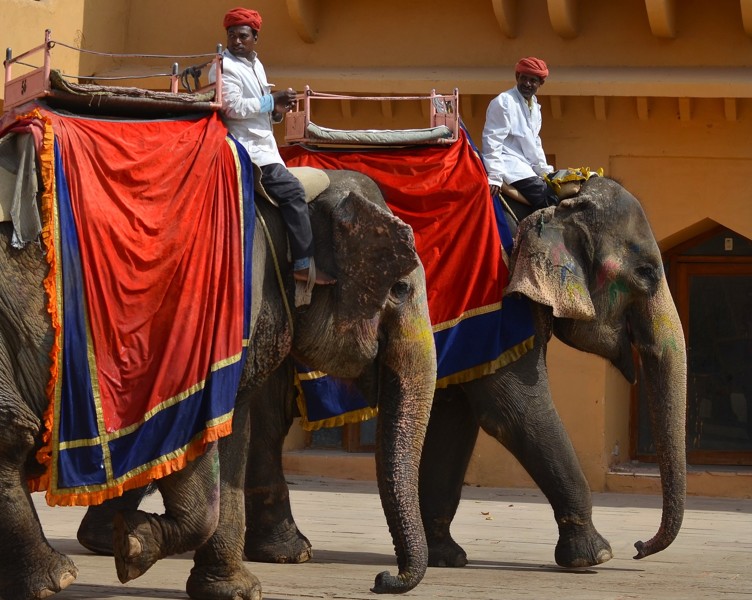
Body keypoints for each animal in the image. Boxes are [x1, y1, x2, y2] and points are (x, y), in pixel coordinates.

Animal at [1, 166, 434, 600]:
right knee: (12, 435)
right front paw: (134, 545)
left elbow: (233, 433)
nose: (382, 580)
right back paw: (55, 579)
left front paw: (229, 589)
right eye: (400, 289)